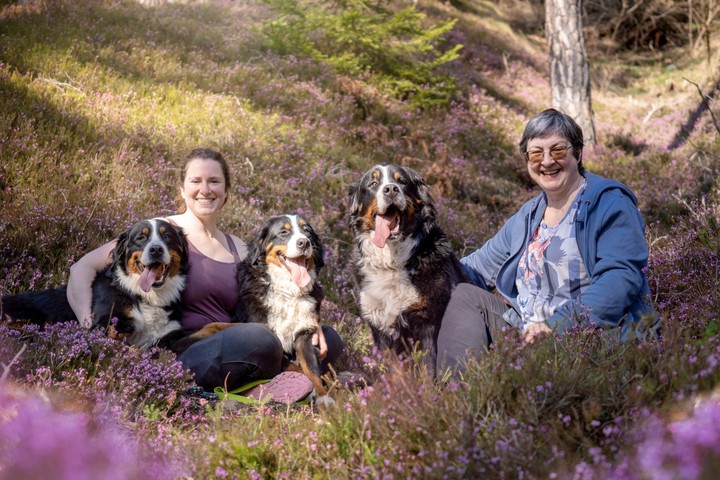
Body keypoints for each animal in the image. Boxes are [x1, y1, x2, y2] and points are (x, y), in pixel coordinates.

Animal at [1, 219, 188, 350]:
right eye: (141, 237)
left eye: (167, 236)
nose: (156, 249)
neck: (146, 296)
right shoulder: (107, 324)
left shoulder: (167, 334)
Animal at [348, 164, 467, 376]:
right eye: (373, 183)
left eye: (401, 181)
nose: (390, 189)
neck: (392, 260)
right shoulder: (380, 327)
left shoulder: (427, 323)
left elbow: (428, 370)